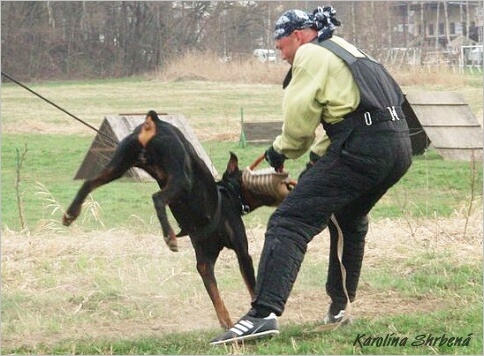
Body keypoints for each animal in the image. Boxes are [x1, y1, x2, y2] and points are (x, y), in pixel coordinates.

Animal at [63, 110, 282, 330]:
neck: (228, 194)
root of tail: (156, 122)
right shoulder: (242, 252)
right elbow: (251, 287)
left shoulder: (204, 263)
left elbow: (217, 299)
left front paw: (227, 323)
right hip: (181, 179)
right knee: (157, 198)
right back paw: (169, 237)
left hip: (119, 165)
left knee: (89, 183)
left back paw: (70, 213)